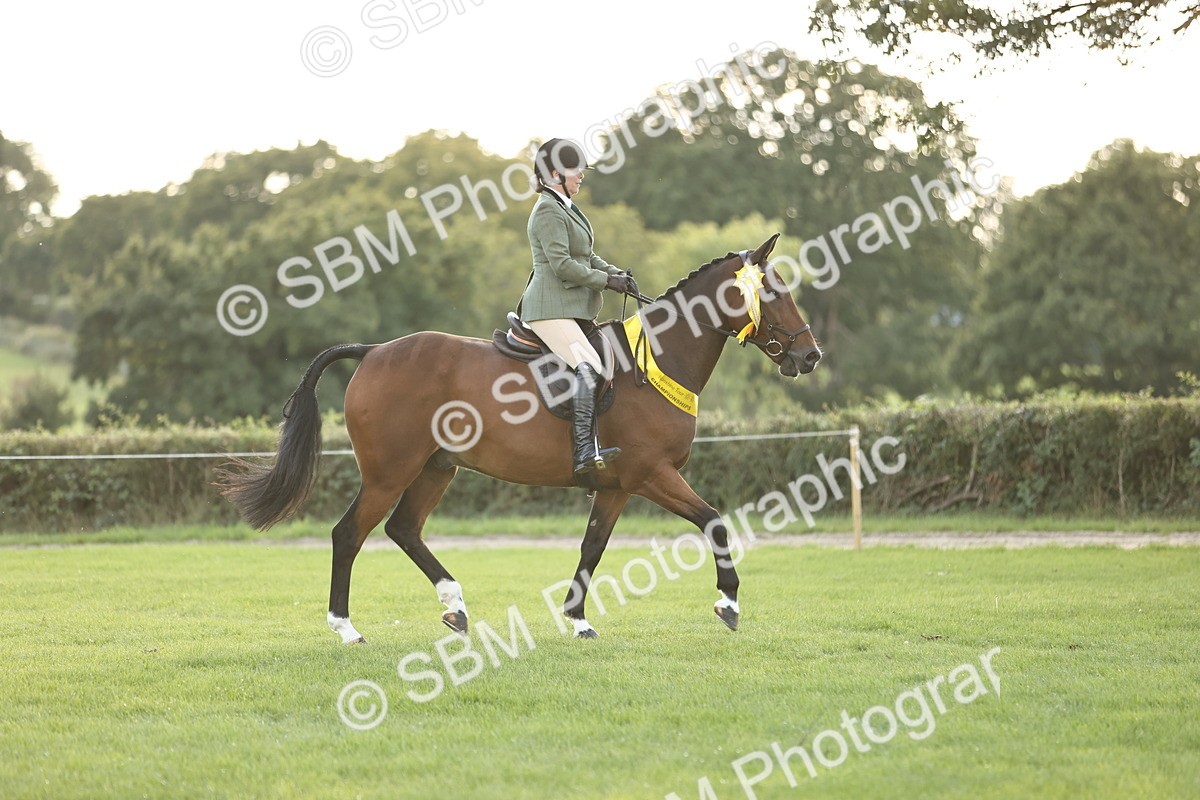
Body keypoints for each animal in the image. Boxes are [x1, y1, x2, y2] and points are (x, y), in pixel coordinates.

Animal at [218, 233, 821, 642]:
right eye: (774, 292)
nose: (810, 356)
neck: (658, 360)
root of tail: (374, 352)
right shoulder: (653, 474)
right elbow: (714, 521)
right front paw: (729, 605)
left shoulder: (618, 486)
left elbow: (592, 548)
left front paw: (576, 620)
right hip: (389, 472)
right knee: (349, 534)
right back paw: (346, 628)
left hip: (437, 468)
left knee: (403, 530)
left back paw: (455, 606)